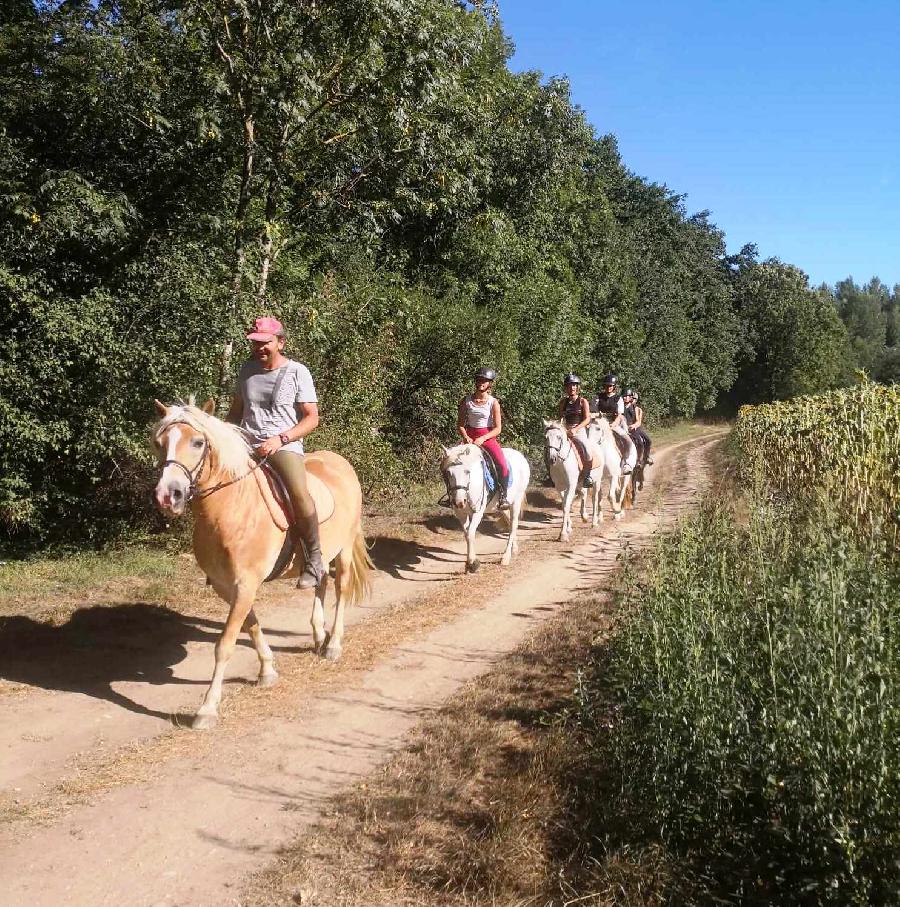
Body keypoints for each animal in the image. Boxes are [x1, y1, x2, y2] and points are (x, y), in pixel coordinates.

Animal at [153, 400, 370, 728]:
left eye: (198, 442)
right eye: (159, 443)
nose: (169, 495)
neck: (232, 509)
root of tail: (340, 462)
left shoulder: (245, 584)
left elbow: (225, 645)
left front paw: (207, 708)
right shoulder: (227, 587)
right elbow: (252, 626)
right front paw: (267, 670)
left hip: (344, 548)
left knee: (342, 588)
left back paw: (333, 644)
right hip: (322, 555)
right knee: (320, 581)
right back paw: (319, 635)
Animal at [440, 442, 532, 576]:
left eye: (467, 472)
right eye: (448, 472)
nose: (459, 502)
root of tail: (520, 456)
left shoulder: (478, 512)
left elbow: (470, 534)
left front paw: (472, 564)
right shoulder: (460, 513)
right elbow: (466, 534)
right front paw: (469, 564)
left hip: (517, 501)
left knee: (514, 524)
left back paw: (506, 557)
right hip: (504, 506)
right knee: (510, 523)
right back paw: (514, 549)